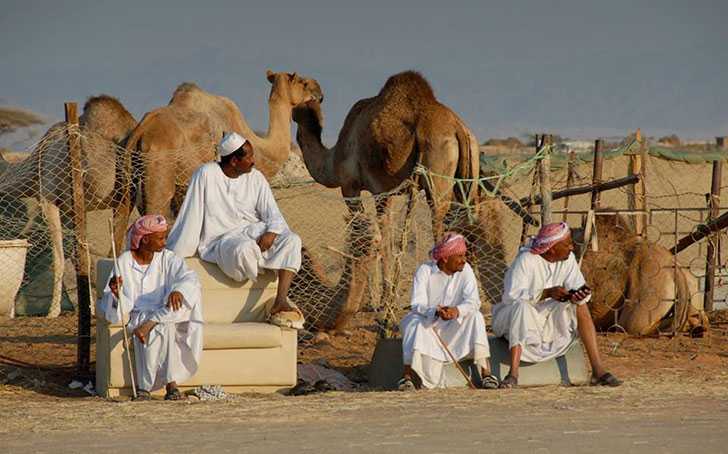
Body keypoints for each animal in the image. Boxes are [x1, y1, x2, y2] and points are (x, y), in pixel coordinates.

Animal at [0, 95, 136, 316]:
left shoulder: (49, 200)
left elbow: (59, 259)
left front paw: (53, 312)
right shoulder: (75, 210)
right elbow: (81, 256)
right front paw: (89, 308)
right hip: (125, 200)